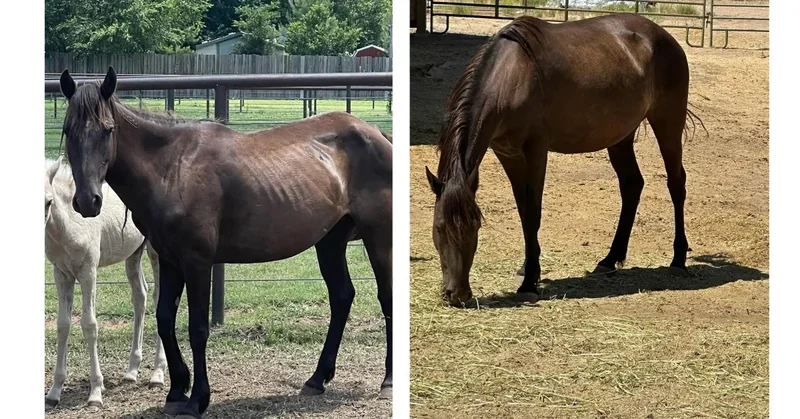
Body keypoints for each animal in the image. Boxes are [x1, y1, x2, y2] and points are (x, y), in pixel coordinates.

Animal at [44, 158, 166, 408]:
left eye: (48, 201)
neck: (68, 223)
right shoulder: (61, 274)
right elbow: (63, 325)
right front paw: (54, 391)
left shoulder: (88, 271)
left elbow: (89, 325)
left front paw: (95, 392)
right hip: (133, 253)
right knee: (140, 295)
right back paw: (131, 371)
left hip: (155, 250)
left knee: (160, 297)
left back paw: (158, 374)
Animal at [58, 68, 393, 418]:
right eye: (68, 130)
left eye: (107, 130)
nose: (87, 201)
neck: (172, 167)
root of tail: (378, 135)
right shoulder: (169, 259)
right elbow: (164, 320)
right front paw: (176, 391)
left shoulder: (197, 262)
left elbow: (197, 329)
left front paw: (197, 399)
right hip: (330, 241)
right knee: (342, 297)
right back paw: (317, 379)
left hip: (379, 236)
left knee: (386, 298)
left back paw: (387, 382)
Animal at [424, 14, 696, 306]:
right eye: (439, 227)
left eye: (475, 227)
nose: (457, 294)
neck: (511, 76)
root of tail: (663, 35)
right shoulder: (507, 153)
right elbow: (523, 211)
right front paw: (528, 268)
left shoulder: (536, 150)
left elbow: (533, 213)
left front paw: (529, 282)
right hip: (620, 136)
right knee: (632, 184)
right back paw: (610, 259)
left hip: (668, 121)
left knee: (676, 183)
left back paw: (678, 261)